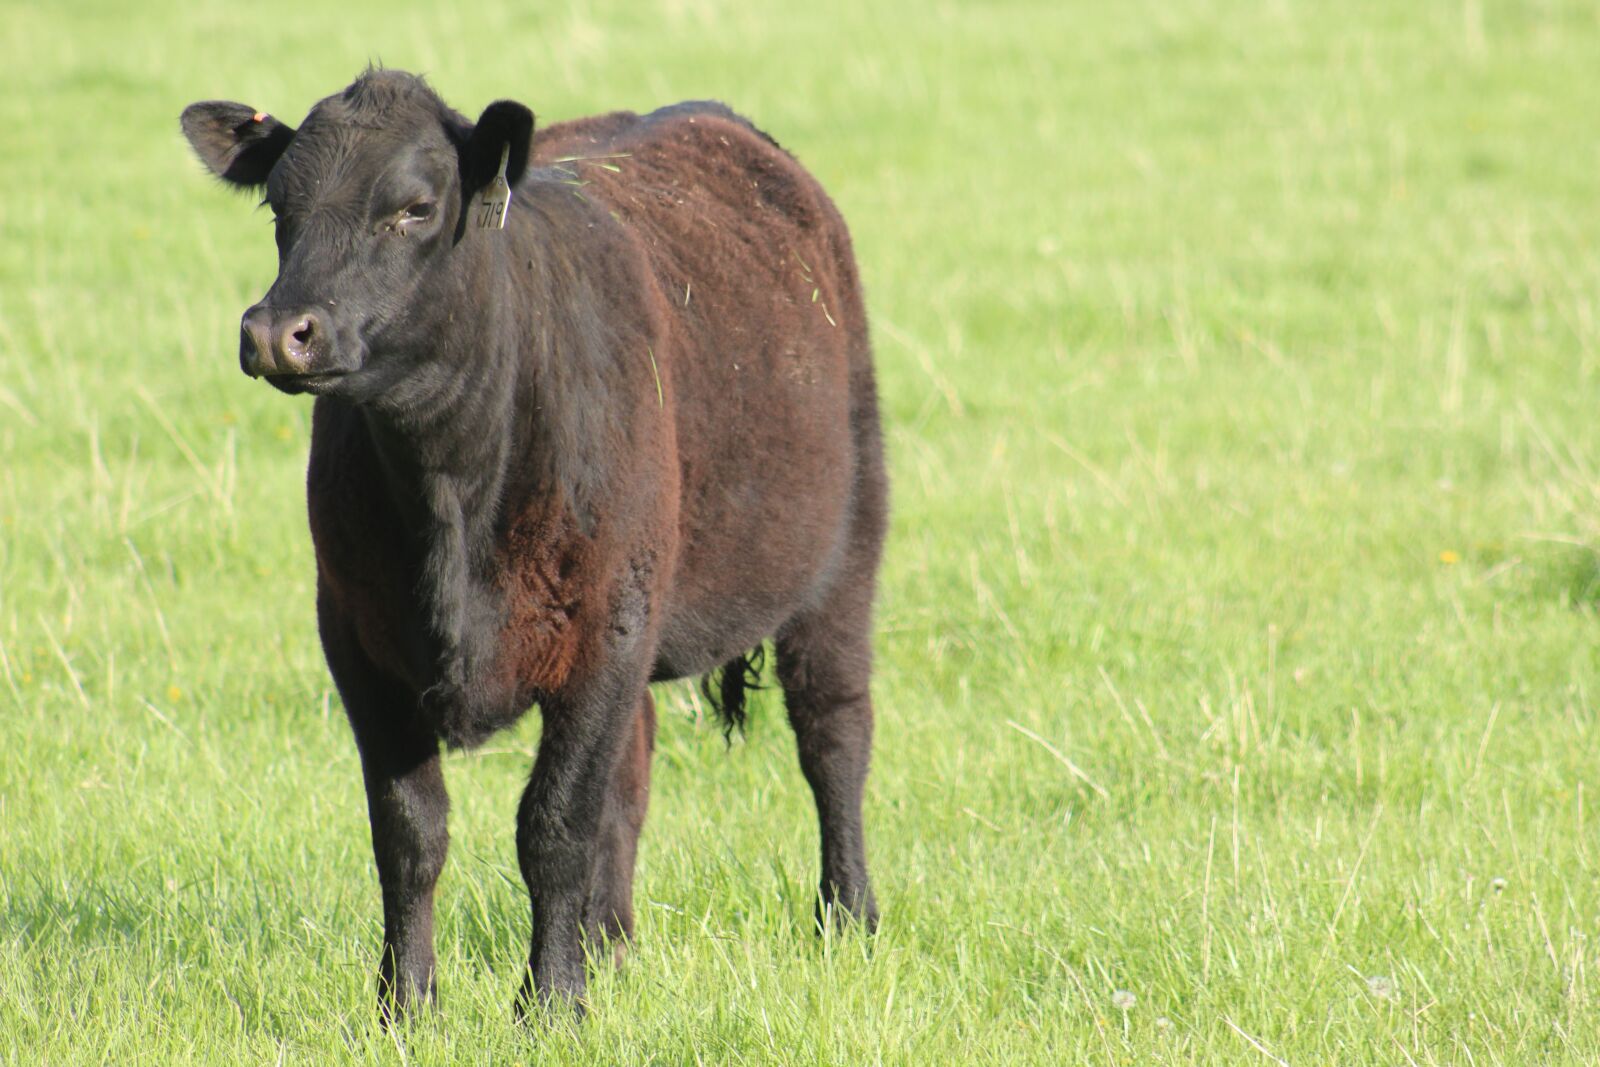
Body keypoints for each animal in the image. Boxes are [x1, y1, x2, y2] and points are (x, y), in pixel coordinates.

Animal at [179, 69, 887, 1023]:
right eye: (279, 208)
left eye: (415, 207)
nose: (276, 331)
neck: (451, 492)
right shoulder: (356, 636)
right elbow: (410, 829)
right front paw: (406, 1004)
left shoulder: (602, 632)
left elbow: (553, 822)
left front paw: (550, 1002)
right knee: (634, 771)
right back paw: (611, 943)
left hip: (842, 559)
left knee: (833, 735)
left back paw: (846, 917)